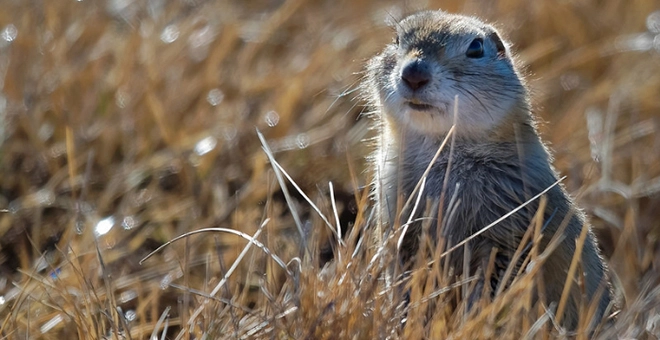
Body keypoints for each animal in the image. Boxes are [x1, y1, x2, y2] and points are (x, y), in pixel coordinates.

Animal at [364, 9, 612, 330]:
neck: (442, 152)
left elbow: (496, 279)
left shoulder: (507, 227)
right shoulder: (394, 209)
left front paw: (474, 319)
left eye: (476, 48)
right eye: (396, 39)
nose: (414, 73)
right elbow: (401, 271)